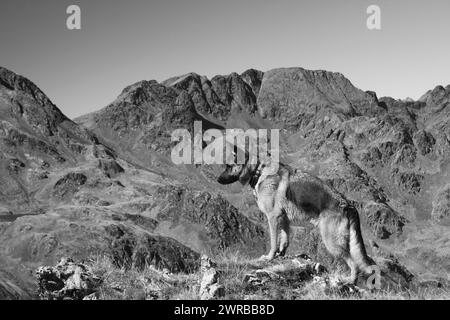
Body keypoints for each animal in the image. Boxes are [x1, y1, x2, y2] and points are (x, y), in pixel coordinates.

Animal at [216, 156, 374, 284]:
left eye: (228, 166)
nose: (217, 180)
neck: (258, 171)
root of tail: (348, 205)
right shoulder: (284, 219)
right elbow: (284, 240)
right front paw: (281, 255)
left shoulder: (272, 217)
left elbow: (273, 241)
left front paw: (269, 257)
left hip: (332, 243)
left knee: (354, 263)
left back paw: (350, 281)